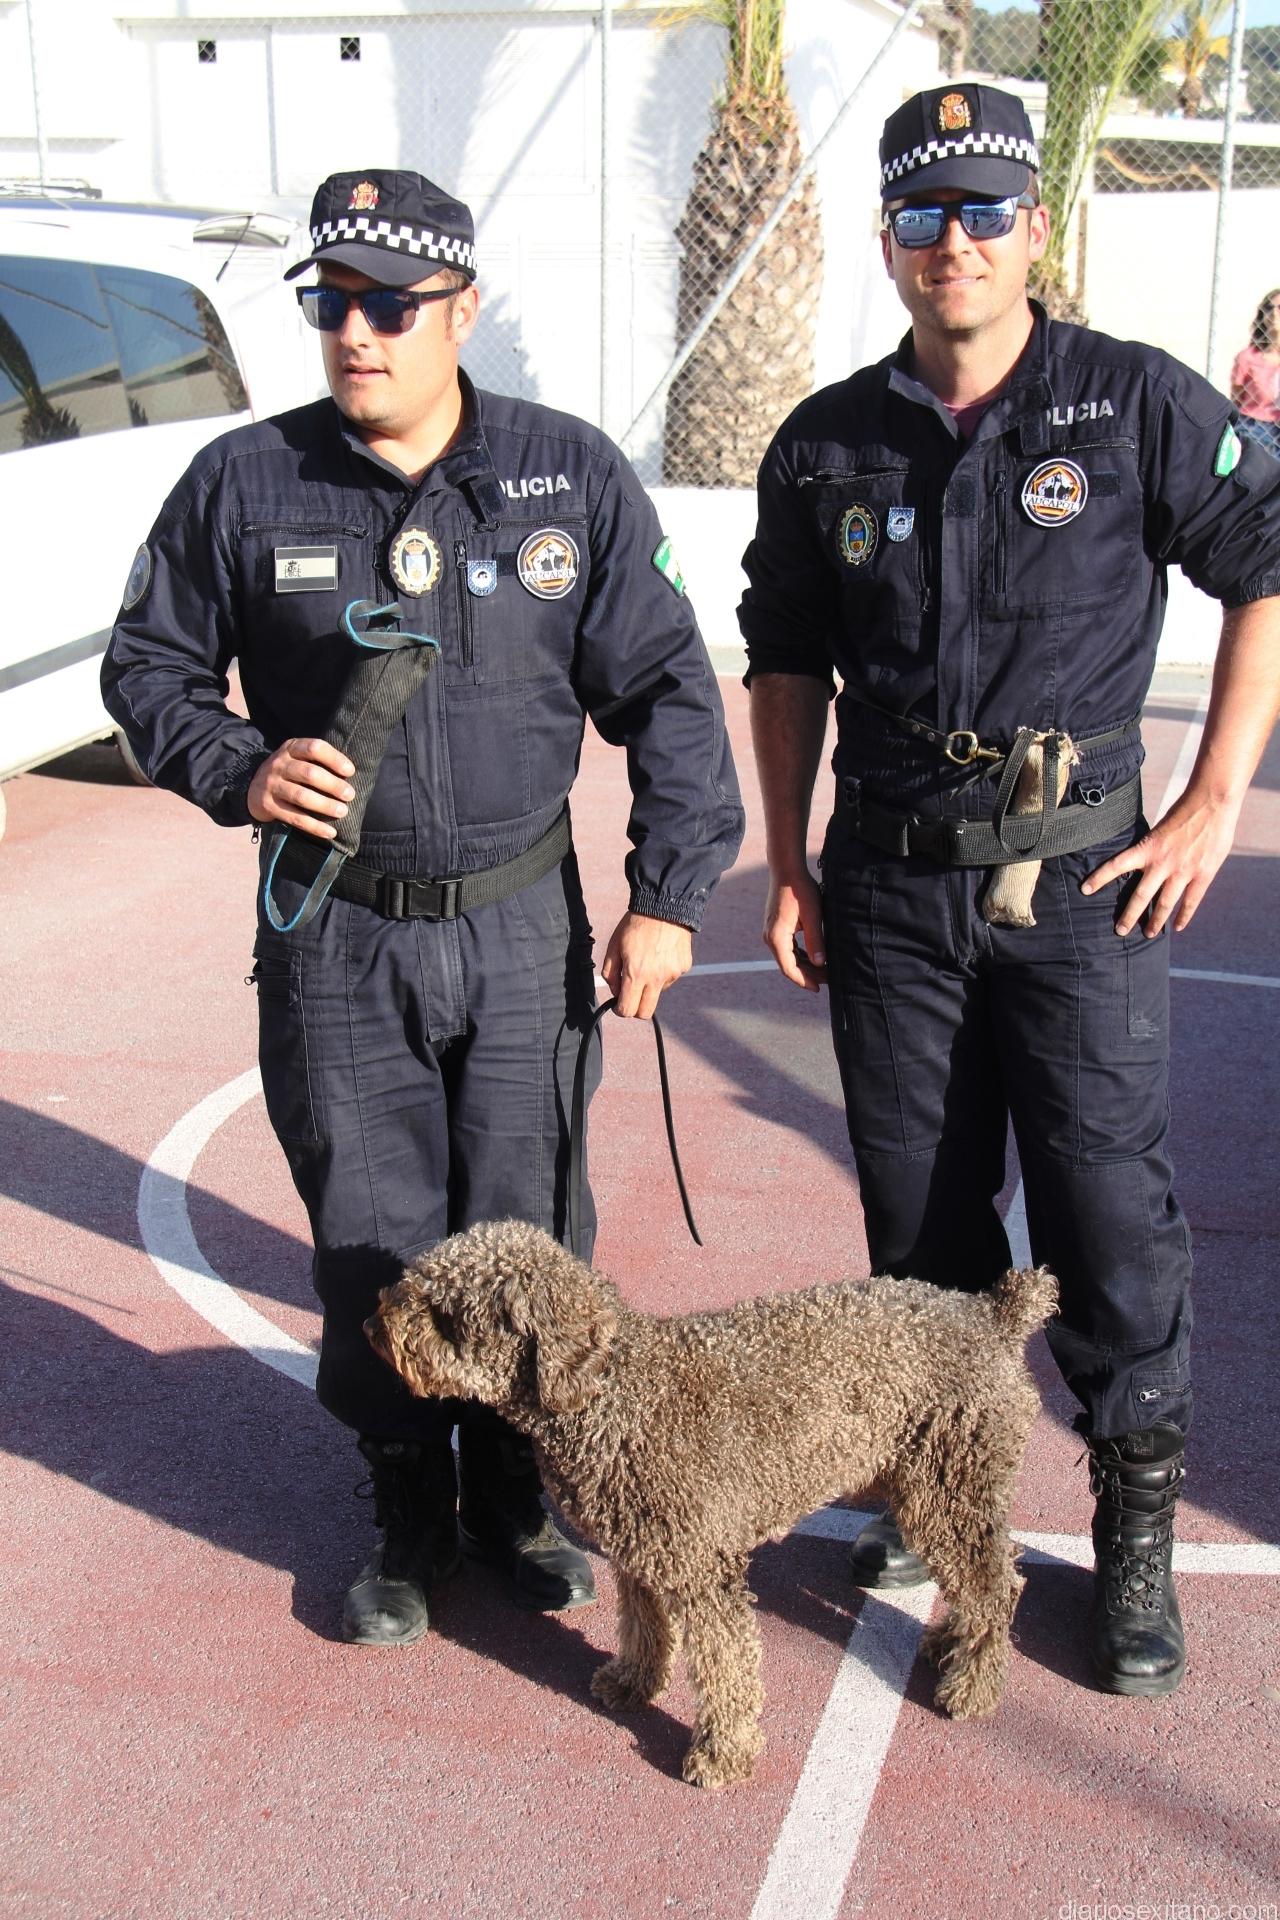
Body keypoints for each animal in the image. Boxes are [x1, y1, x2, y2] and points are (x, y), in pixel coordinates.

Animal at [366, 1221, 1056, 1787]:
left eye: (446, 1313)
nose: (373, 1326)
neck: (613, 1393)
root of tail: (994, 1313)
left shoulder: (703, 1569)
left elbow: (727, 1665)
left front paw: (722, 1754)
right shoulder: (641, 1557)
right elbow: (645, 1629)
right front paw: (634, 1683)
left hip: (951, 1489)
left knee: (998, 1587)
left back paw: (974, 1685)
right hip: (939, 1494)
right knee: (985, 1582)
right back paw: (951, 1644)